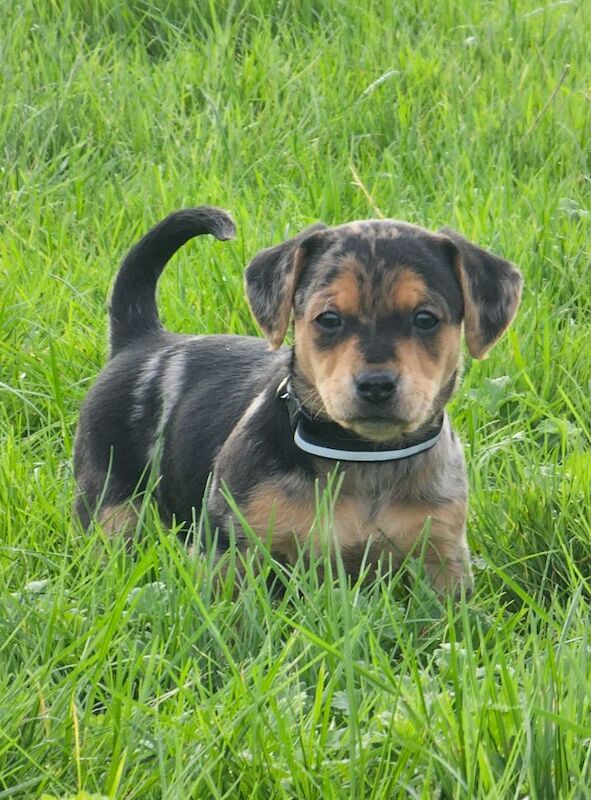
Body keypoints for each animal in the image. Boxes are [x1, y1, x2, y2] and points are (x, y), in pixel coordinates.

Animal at [75, 206, 524, 592]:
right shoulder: (234, 548)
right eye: (329, 319)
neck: (364, 458)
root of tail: (142, 337)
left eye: (425, 319)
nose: (376, 385)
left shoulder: (442, 555)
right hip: (112, 505)